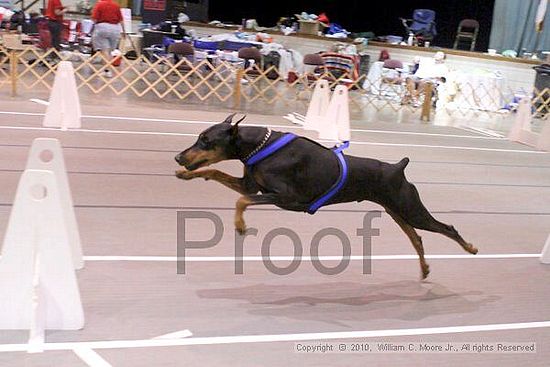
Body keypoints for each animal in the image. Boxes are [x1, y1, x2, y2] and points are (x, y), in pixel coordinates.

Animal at [177, 114, 478, 278]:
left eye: (206, 140)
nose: (178, 156)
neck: (258, 147)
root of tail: (398, 167)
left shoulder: (287, 198)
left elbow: (241, 201)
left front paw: (240, 225)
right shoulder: (250, 185)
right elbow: (216, 173)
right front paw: (187, 175)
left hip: (411, 209)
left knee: (446, 228)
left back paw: (471, 248)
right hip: (397, 212)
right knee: (417, 238)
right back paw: (425, 269)